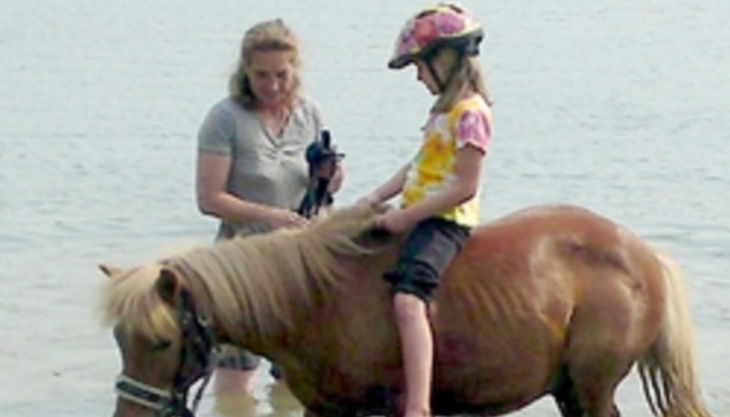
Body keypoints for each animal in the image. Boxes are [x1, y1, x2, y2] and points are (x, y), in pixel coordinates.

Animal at [99, 203, 713, 417]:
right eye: (119, 341)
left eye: (160, 342)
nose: (128, 415)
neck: (312, 300)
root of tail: (645, 255)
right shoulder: (327, 411)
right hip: (570, 392)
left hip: (591, 391)